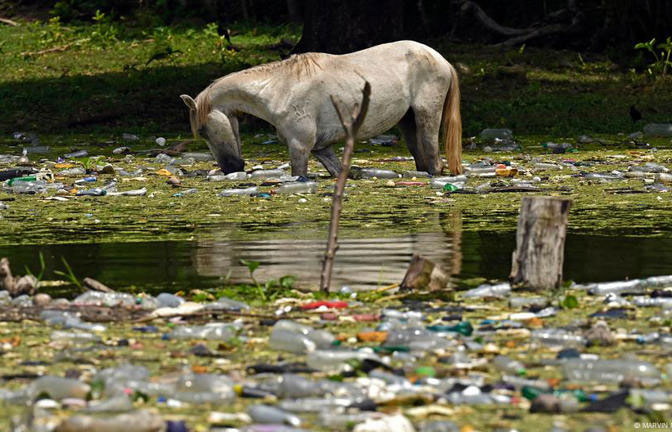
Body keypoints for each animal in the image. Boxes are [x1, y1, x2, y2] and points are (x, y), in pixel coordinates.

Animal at [178, 39, 462, 176]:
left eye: (202, 130)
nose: (232, 168)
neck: (279, 88)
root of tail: (441, 59)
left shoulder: (300, 147)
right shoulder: (320, 148)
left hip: (426, 117)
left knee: (433, 159)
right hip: (408, 121)